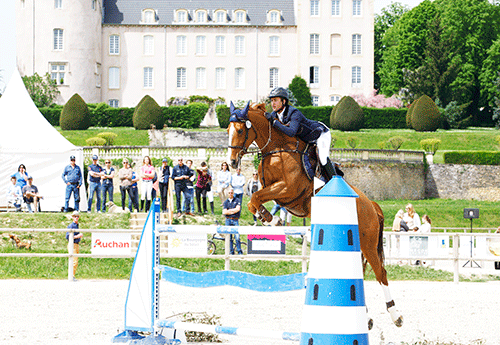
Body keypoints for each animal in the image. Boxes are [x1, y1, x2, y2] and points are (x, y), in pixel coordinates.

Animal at [229, 101, 404, 326]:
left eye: (240, 130)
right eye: (228, 129)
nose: (232, 163)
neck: (276, 149)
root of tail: (372, 206)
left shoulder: (287, 189)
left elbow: (257, 198)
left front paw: (272, 219)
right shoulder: (272, 190)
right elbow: (254, 200)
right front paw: (268, 218)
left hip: (368, 243)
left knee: (380, 272)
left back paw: (395, 314)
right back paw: (366, 317)